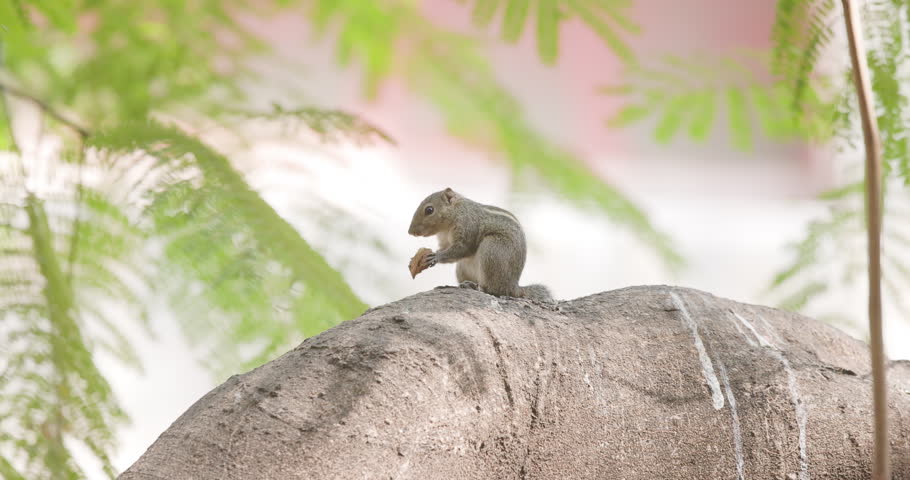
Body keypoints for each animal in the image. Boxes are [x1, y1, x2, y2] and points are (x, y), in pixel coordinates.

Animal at [407, 187, 554, 303]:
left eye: (429, 210)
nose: (410, 232)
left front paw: (436, 256)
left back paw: (477, 287)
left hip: (492, 250)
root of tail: (513, 286)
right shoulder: (445, 241)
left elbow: (462, 249)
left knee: (494, 290)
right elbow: (446, 248)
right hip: (462, 268)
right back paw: (467, 284)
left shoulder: (468, 228)